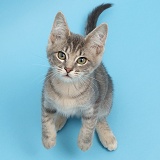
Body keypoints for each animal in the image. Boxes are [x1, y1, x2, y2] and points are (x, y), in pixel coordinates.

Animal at [42, 3, 117, 151]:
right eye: (61, 55)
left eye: (81, 60)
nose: (68, 69)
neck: (68, 90)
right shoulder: (46, 100)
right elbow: (46, 120)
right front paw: (48, 139)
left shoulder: (93, 104)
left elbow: (90, 124)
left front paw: (85, 142)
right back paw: (58, 118)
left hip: (107, 98)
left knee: (101, 117)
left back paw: (107, 135)